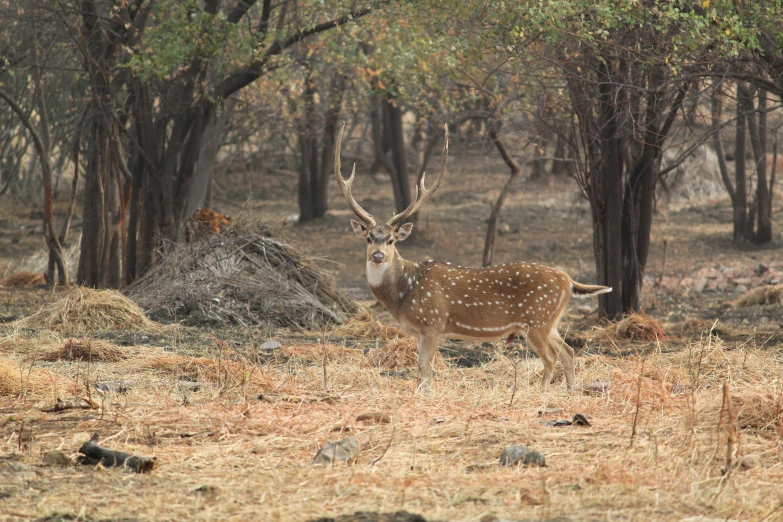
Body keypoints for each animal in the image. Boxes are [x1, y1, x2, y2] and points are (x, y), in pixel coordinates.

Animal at [332, 122, 612, 390]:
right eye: (369, 238)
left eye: (391, 240)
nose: (378, 256)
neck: (403, 294)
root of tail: (568, 281)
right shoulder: (421, 331)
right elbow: (423, 368)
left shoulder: (432, 322)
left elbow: (425, 367)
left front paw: (424, 394)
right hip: (550, 321)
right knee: (568, 351)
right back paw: (570, 391)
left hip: (537, 320)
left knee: (552, 356)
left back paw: (541, 391)